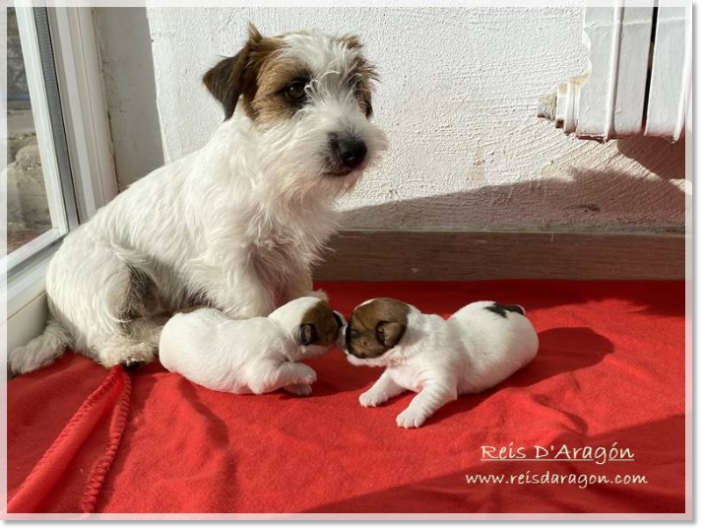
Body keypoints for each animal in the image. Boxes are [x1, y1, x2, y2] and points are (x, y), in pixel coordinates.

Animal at [8, 23, 388, 374]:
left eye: (356, 88)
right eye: (295, 89)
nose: (355, 150)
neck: (271, 171)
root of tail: (55, 308)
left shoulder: (289, 252)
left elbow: (296, 282)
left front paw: (306, 302)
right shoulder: (229, 260)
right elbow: (254, 301)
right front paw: (260, 334)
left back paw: (154, 336)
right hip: (111, 272)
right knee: (93, 336)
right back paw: (125, 352)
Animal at [160, 298, 346, 396]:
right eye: (334, 325)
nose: (341, 316)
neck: (279, 327)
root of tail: (175, 316)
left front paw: (298, 386)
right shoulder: (265, 371)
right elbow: (285, 370)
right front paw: (308, 374)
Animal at [346, 300, 540, 428]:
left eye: (354, 332)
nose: (342, 331)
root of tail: (514, 310)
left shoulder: (439, 385)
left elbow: (420, 398)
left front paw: (410, 413)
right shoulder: (395, 374)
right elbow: (383, 382)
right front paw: (371, 393)